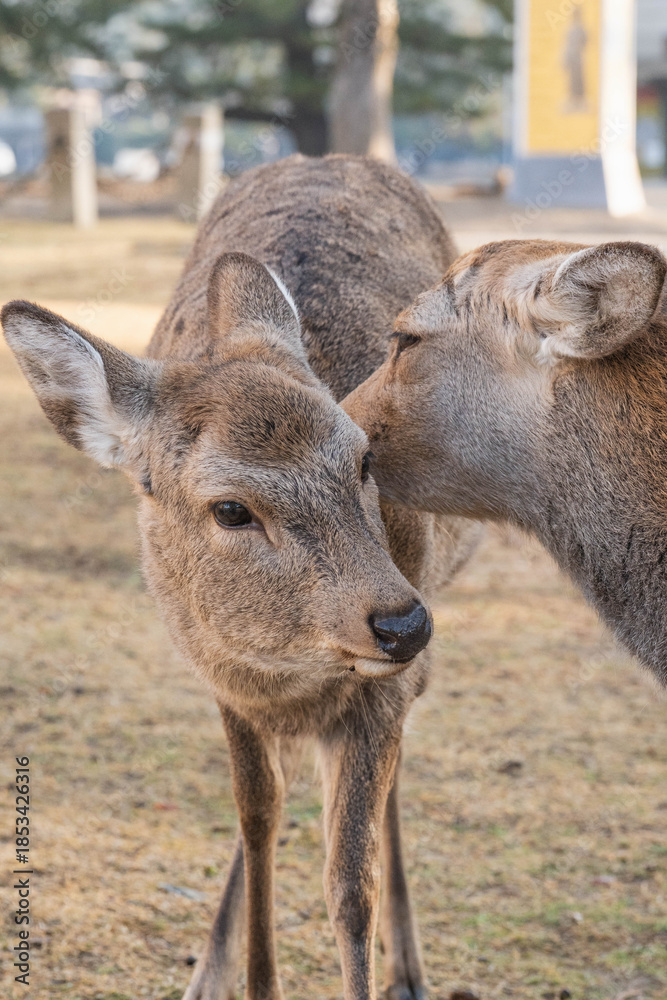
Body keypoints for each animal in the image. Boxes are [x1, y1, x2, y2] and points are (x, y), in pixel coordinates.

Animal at [2, 153, 480, 1000]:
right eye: (229, 509)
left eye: (364, 459)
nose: (401, 622)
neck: (294, 664)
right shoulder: (225, 679)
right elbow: (257, 820)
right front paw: (249, 976)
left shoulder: (380, 684)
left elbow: (348, 883)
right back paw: (209, 970)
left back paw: (409, 970)